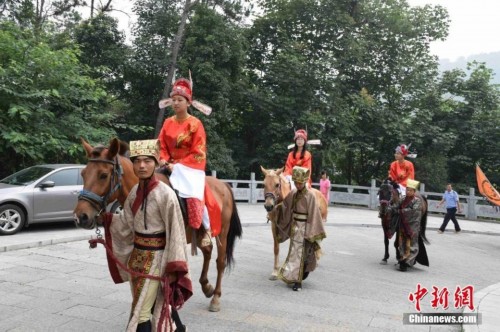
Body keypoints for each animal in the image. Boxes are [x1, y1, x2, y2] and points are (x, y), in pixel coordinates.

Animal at [73, 137, 242, 312]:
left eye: (103, 175)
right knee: (208, 250)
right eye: (83, 174)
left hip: (223, 231)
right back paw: (206, 287)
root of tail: (224, 185)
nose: (81, 216)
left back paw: (216, 297)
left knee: (220, 261)